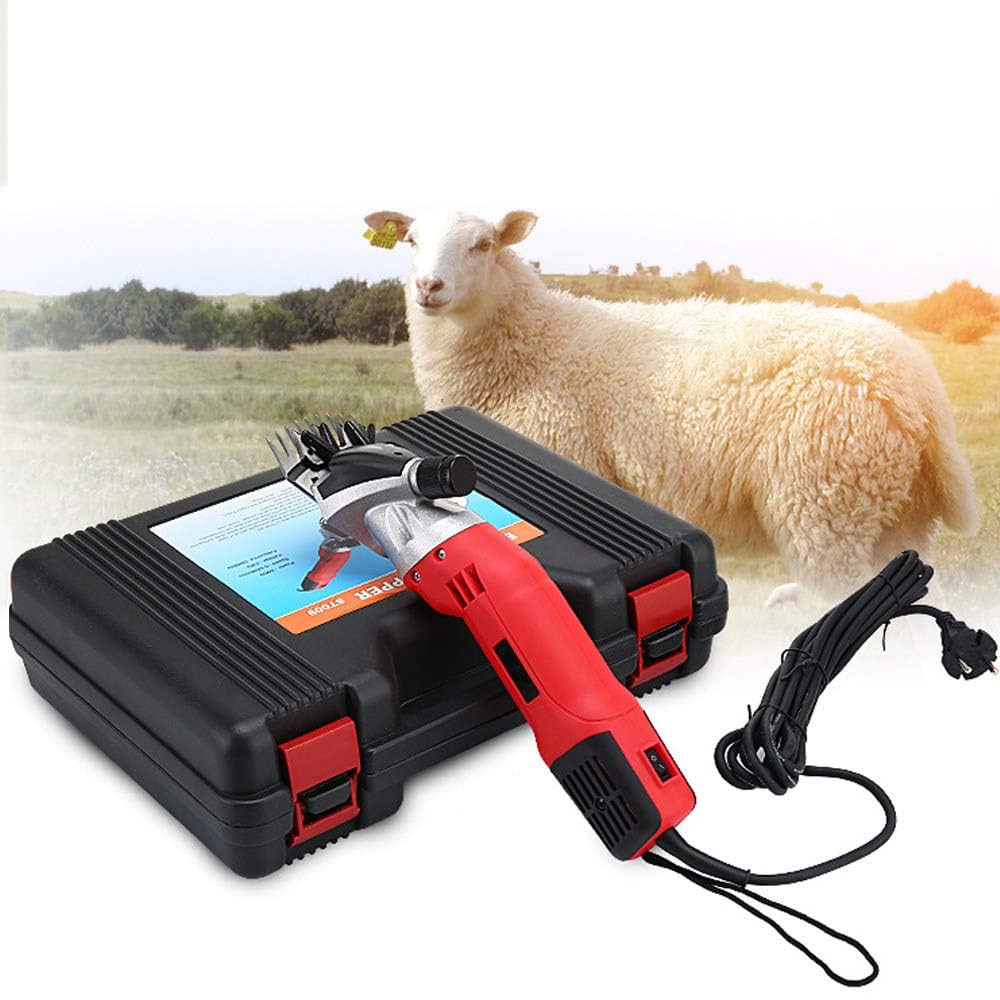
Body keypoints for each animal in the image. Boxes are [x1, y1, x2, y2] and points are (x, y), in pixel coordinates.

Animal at [363, 209, 978, 601]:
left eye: (484, 244)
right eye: (410, 240)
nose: (428, 286)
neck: (536, 343)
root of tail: (920, 388)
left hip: (827, 501)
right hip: (895, 512)